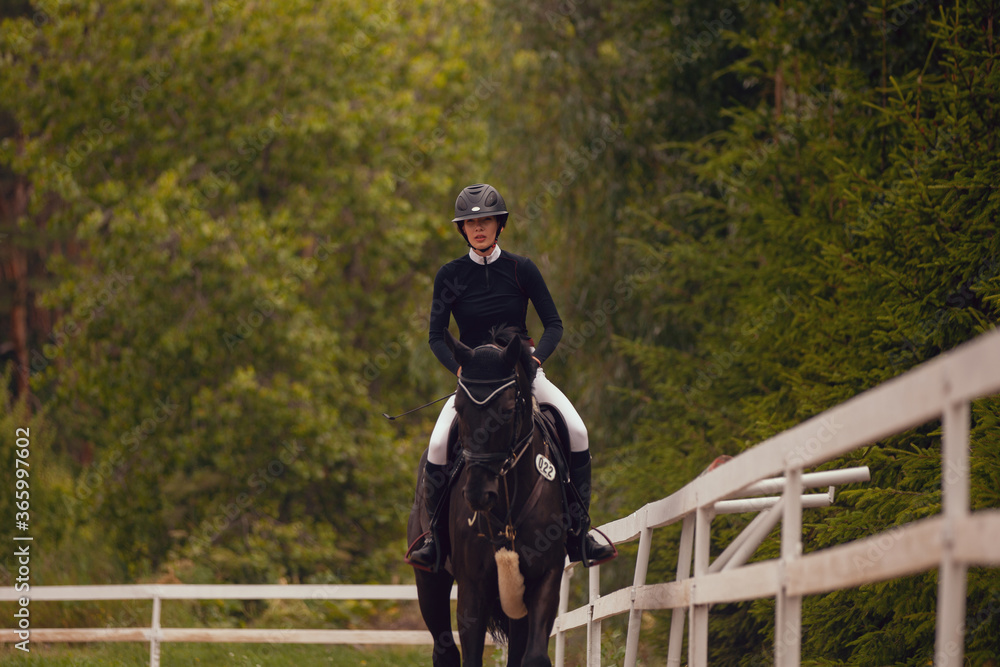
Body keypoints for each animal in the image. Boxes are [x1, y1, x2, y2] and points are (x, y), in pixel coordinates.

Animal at [404, 330, 564, 667]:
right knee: (445, 651)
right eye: (459, 409)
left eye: (506, 410)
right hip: (429, 582)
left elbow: (533, 656)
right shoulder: (473, 587)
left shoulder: (545, 576)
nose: (478, 495)